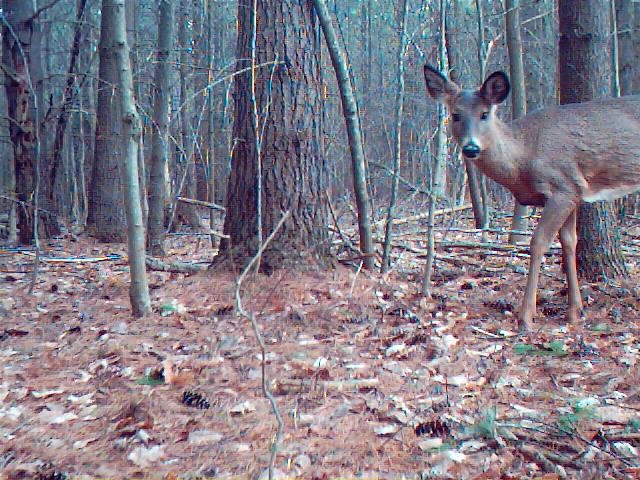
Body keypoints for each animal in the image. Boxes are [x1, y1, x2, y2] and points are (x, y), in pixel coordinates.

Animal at [423, 65, 640, 332]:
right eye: (455, 115)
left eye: (484, 114)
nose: (471, 148)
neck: (523, 157)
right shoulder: (574, 192)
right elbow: (569, 242)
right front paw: (575, 311)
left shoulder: (561, 188)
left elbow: (538, 243)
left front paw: (526, 316)